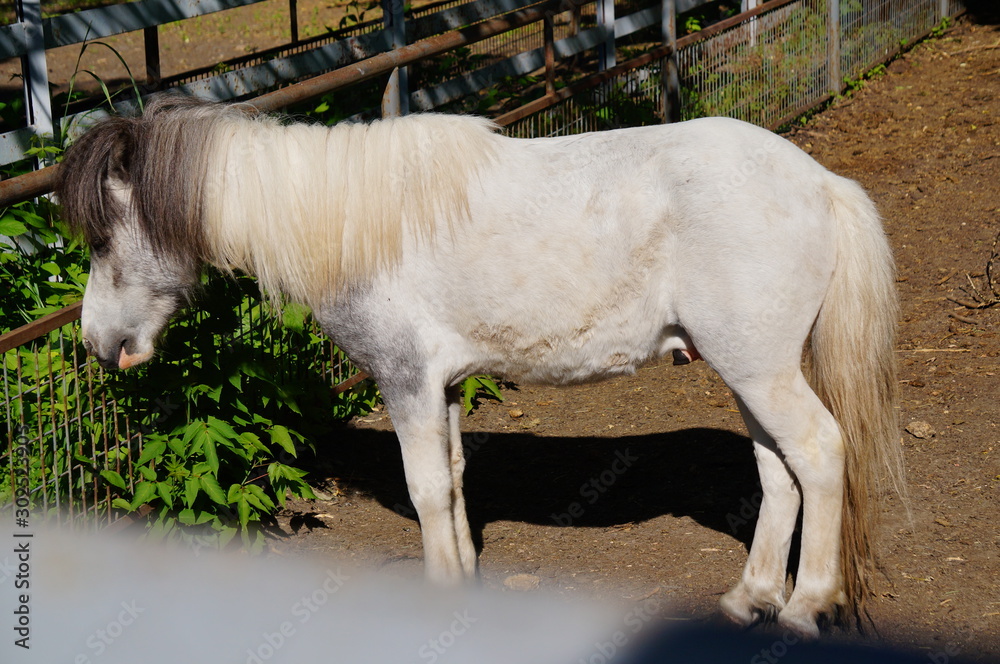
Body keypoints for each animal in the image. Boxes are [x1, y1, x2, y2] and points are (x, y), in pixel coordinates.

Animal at [58, 95, 903, 638]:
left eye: (101, 239)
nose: (100, 345)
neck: (352, 223)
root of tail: (820, 183)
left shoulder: (404, 380)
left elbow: (427, 489)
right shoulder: (445, 386)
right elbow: (458, 479)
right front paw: (463, 579)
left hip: (760, 371)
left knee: (819, 454)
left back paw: (805, 606)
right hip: (747, 370)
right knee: (778, 474)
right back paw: (751, 597)